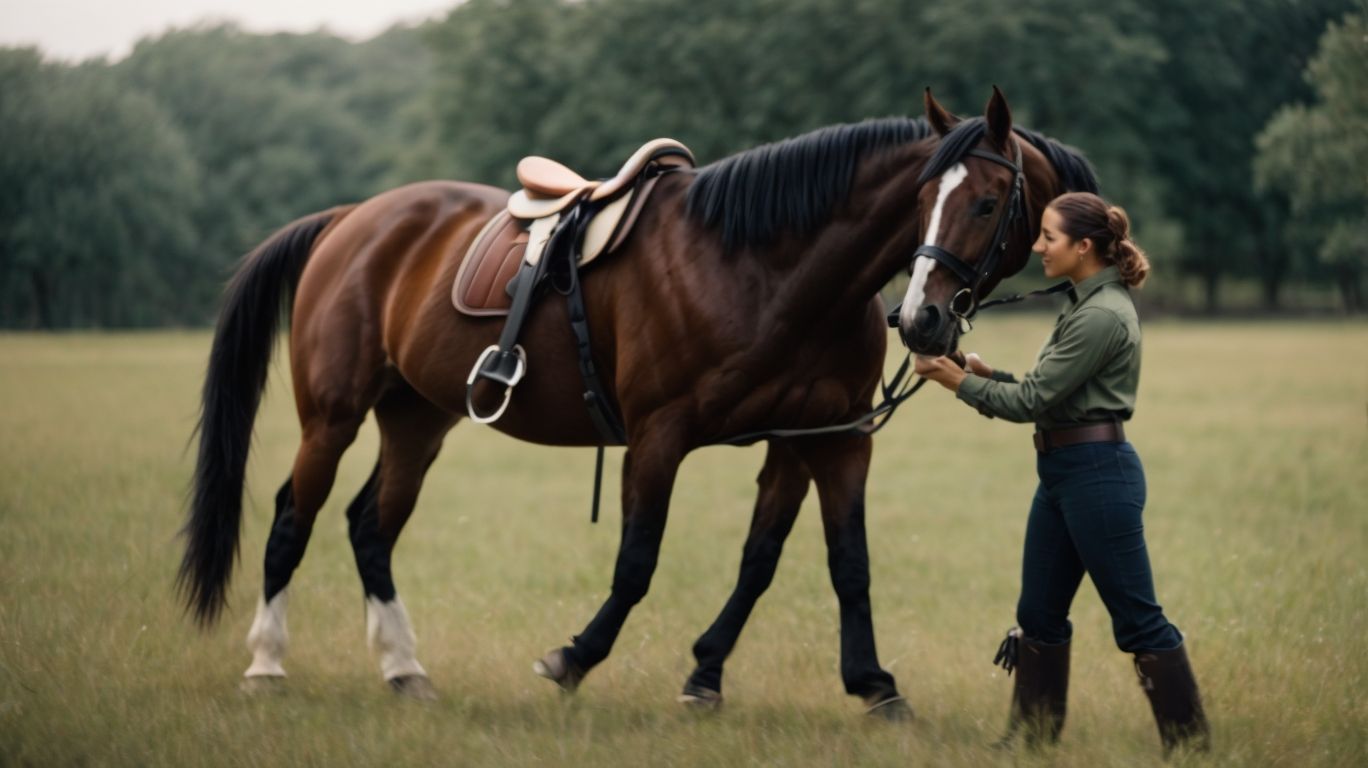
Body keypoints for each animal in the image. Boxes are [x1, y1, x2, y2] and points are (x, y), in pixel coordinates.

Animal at [178, 87, 1096, 718]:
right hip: (332, 417)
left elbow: (814, 564)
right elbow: (638, 562)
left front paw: (850, 682)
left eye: (987, 201)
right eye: (922, 201)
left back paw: (405, 672)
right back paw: (266, 665)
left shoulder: (822, 439)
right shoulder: (661, 437)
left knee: (372, 526)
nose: (921, 319)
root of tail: (351, 219)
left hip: (417, 418)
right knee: (293, 519)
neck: (764, 267)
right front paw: (574, 657)